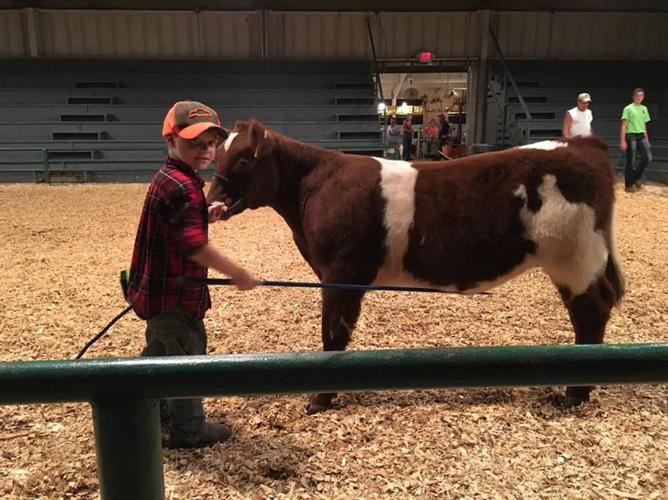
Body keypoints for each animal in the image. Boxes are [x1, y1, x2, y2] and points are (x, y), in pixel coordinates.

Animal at [207, 120, 624, 414]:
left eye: (243, 159)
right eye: (217, 157)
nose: (213, 199)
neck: (314, 185)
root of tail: (582, 145)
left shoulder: (340, 273)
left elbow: (333, 335)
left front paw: (319, 400)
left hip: (575, 258)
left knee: (591, 313)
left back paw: (575, 394)